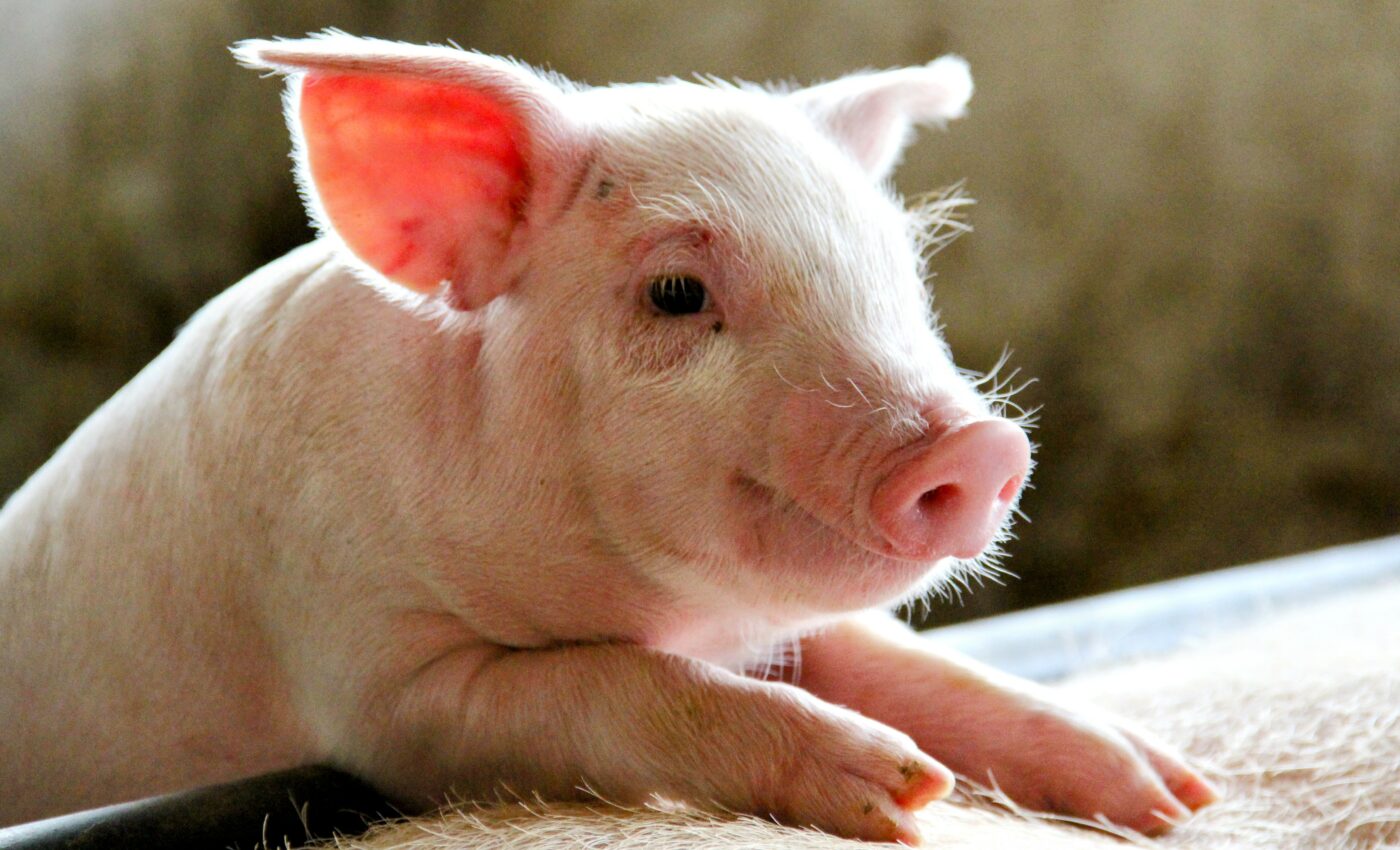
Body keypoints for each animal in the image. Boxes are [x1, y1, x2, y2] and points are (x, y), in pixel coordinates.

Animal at [0, 33, 1216, 843]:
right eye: (676, 293)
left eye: (901, 271)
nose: (979, 447)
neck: (655, 601)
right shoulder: (374, 674)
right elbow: (617, 687)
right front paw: (901, 794)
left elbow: (904, 658)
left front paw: (1173, 796)